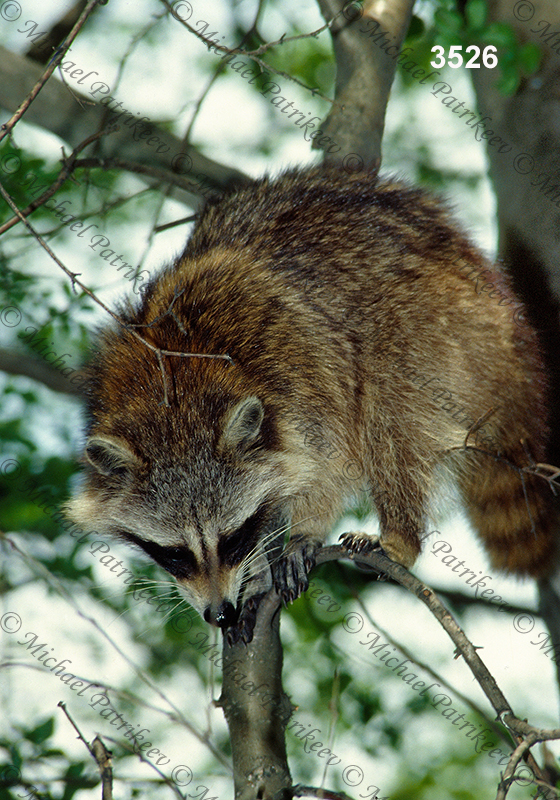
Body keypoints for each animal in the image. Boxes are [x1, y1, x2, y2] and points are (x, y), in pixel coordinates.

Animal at [65, 166, 556, 640]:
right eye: (176, 553)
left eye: (230, 539)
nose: (219, 612)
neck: (173, 395)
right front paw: (257, 574)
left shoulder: (303, 365)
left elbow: (328, 457)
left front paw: (304, 528)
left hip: (428, 323)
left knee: (390, 414)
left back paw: (399, 536)